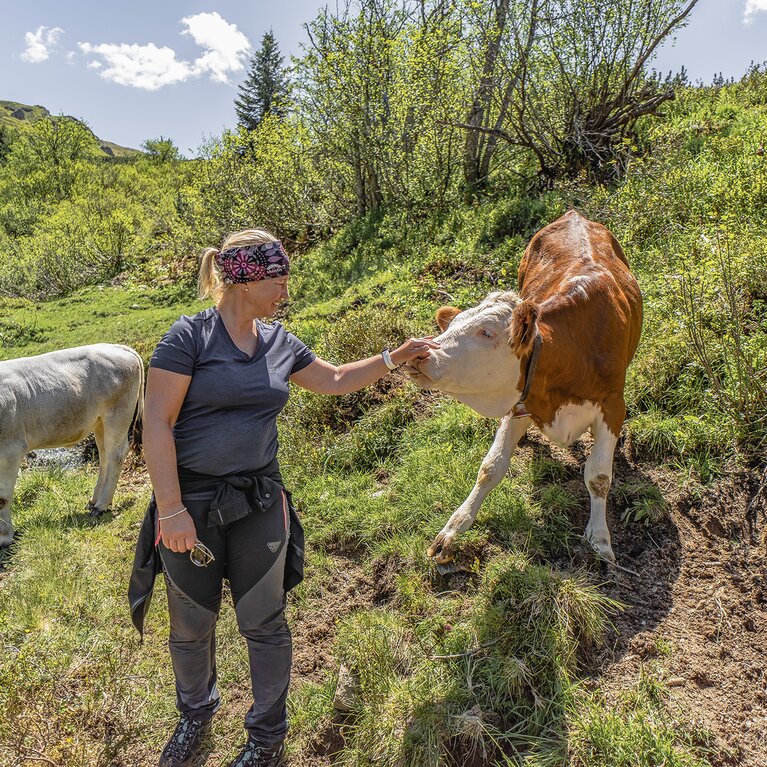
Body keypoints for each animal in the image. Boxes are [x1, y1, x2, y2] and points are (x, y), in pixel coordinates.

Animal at [0, 344, 144, 547]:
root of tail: (117, 347)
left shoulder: (10, 450)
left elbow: (3, 497)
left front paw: (5, 536)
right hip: (99, 422)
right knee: (105, 456)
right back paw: (95, 500)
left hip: (117, 415)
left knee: (116, 455)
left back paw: (101, 505)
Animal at [405, 211, 642, 564]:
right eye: (452, 325)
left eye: (486, 332)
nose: (420, 353)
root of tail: (573, 214)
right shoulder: (521, 401)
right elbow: (490, 467)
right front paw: (454, 527)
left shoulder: (613, 405)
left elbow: (598, 476)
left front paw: (600, 539)